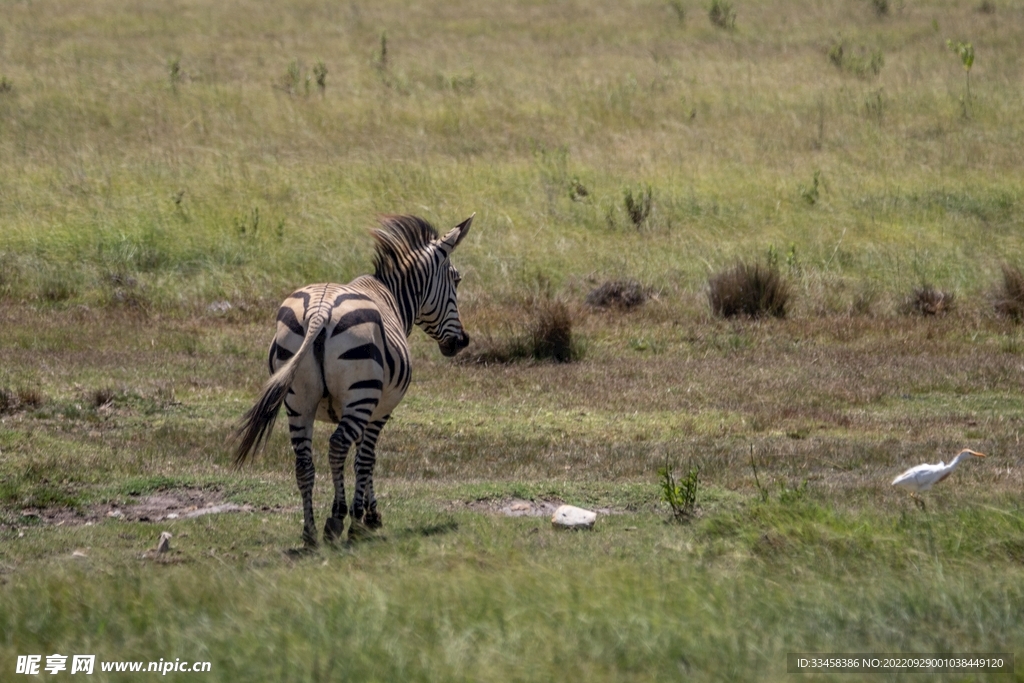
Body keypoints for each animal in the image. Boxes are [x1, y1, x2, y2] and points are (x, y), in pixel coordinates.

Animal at [231, 214, 471, 544]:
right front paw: (364, 516)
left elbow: (359, 455)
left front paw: (365, 511)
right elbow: (365, 457)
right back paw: (337, 519)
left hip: (298, 401)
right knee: (337, 446)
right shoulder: (379, 408)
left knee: (304, 462)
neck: (391, 295)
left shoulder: (359, 407)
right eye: (456, 280)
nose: (462, 342)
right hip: (360, 393)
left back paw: (310, 532)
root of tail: (319, 312)